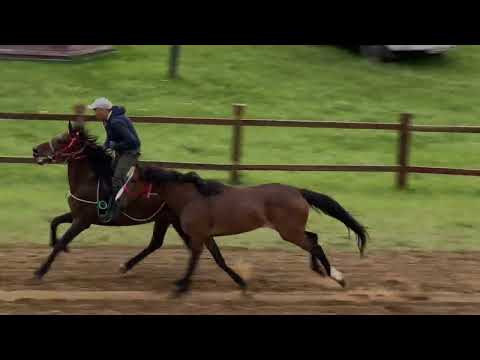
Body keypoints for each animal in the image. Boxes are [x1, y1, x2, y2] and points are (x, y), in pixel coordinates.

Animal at [31, 121, 248, 290]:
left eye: (62, 140)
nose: (35, 150)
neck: (91, 179)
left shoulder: (83, 220)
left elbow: (61, 242)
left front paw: (40, 271)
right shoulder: (77, 214)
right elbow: (54, 222)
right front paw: (55, 245)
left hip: (171, 220)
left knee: (188, 246)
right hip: (169, 219)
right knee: (164, 244)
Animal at [141, 167, 370, 294]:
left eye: (135, 180)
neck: (192, 198)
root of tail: (298, 192)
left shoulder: (198, 235)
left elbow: (195, 261)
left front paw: (181, 288)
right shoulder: (206, 236)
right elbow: (219, 260)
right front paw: (241, 283)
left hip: (289, 232)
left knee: (315, 244)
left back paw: (335, 276)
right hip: (293, 231)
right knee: (313, 239)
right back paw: (321, 271)